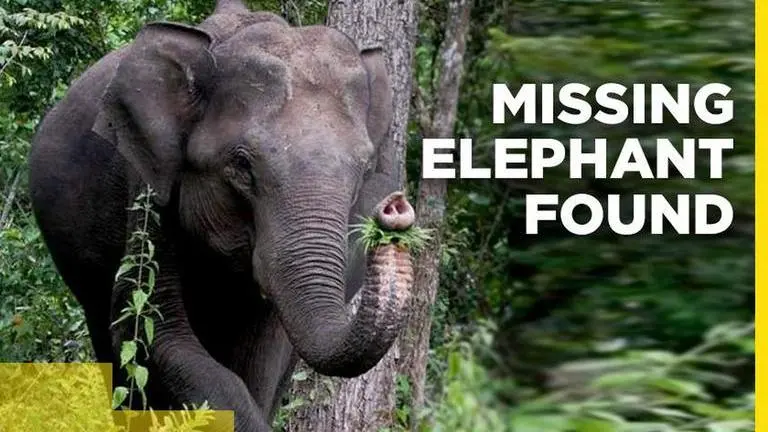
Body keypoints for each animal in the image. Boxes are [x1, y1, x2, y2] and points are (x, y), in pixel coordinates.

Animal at [27, 1, 415, 430]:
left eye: (364, 171)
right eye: (242, 165)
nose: (394, 210)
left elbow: (264, 358)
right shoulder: (148, 187)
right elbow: (151, 324)